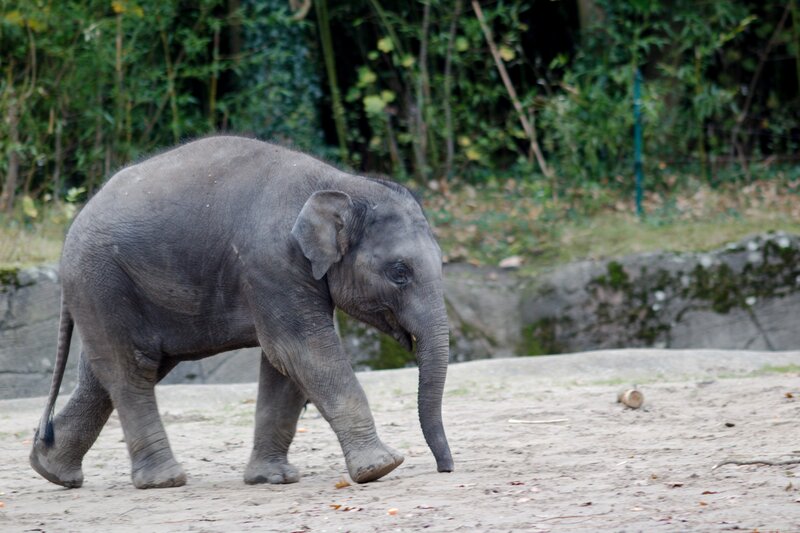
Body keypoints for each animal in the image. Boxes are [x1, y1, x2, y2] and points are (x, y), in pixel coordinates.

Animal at [30, 136, 453, 489]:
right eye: (400, 273)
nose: (444, 468)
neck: (339, 183)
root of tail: (71, 231)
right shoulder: (272, 260)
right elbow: (302, 349)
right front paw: (382, 468)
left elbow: (284, 364)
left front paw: (273, 479)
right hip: (102, 279)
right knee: (131, 369)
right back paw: (163, 481)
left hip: (110, 289)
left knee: (104, 374)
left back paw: (52, 470)